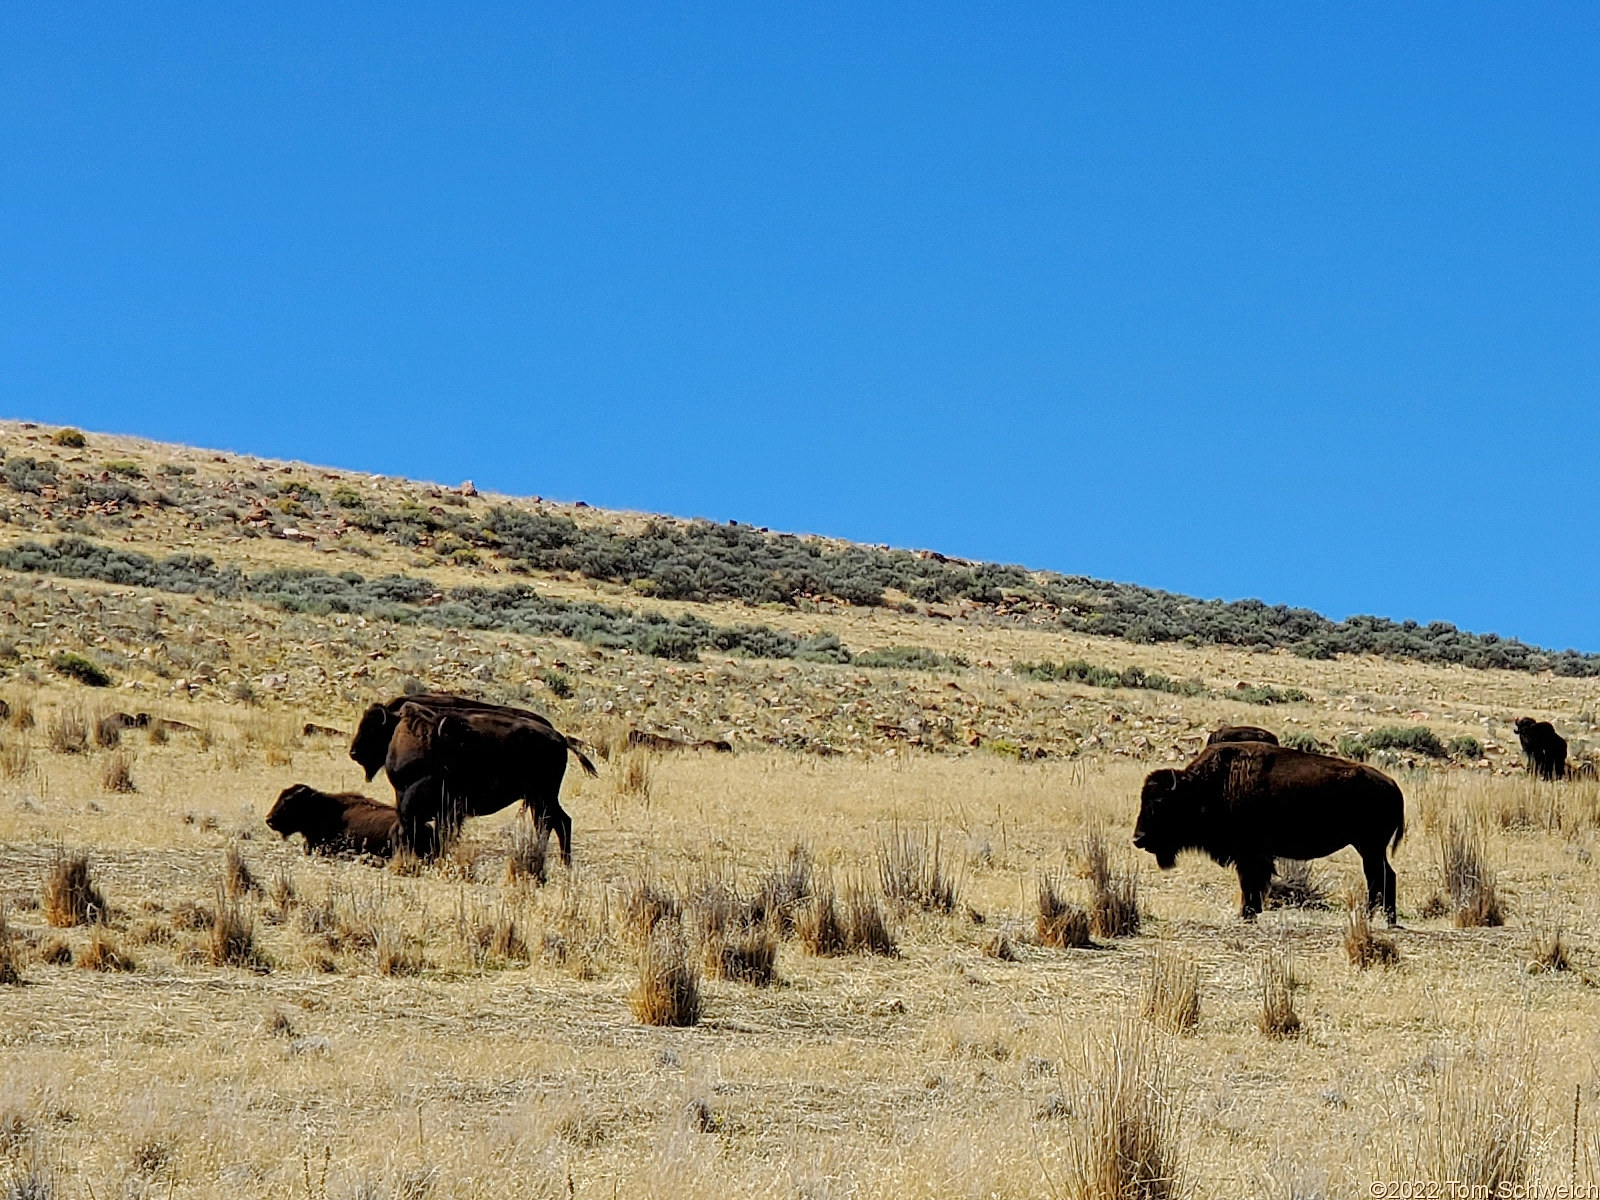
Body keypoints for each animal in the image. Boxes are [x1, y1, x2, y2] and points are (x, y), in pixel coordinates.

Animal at [1139, 742, 1401, 928]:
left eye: (1160, 803)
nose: (1138, 838)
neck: (1203, 788)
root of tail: (1391, 784)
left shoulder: (1250, 854)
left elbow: (1250, 882)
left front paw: (1247, 913)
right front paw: (1248, 913)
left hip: (1369, 847)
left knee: (1381, 877)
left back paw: (1378, 918)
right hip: (1369, 848)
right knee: (1381, 877)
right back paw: (1381, 919)